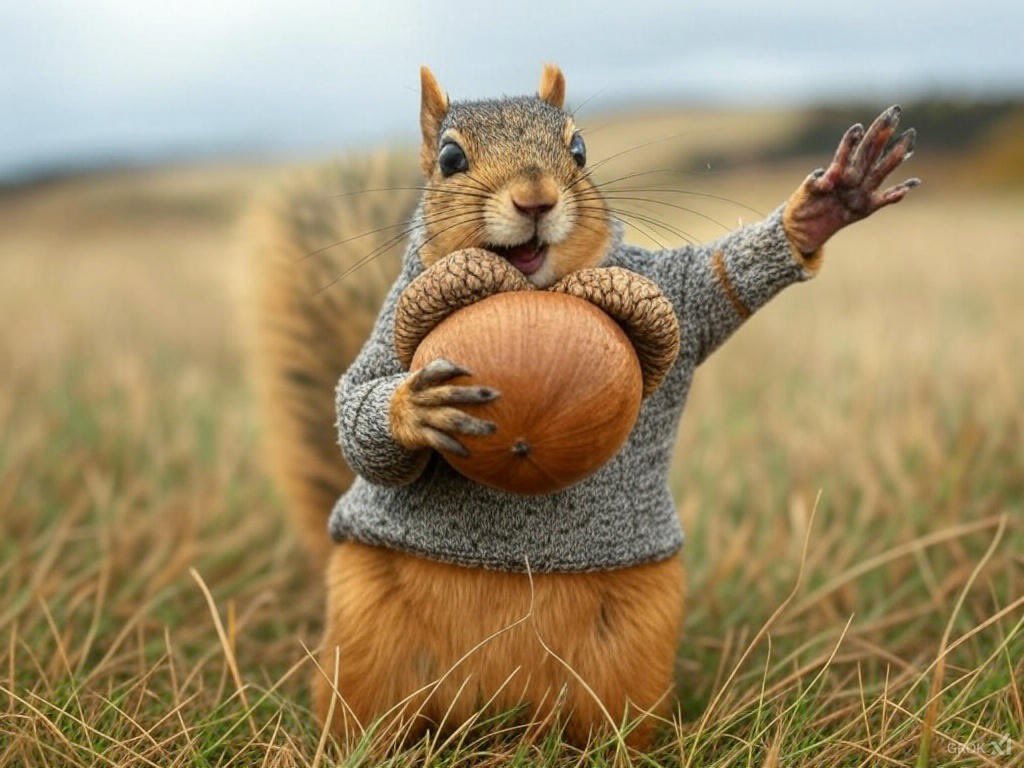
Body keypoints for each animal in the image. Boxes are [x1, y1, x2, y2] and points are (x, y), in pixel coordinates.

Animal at [243, 64, 919, 750]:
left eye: (579, 149)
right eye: (451, 159)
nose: (536, 200)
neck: (534, 286)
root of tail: (499, 717)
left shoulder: (679, 295)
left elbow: (717, 281)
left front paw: (824, 207)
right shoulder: (388, 329)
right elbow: (358, 404)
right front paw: (415, 406)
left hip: (629, 661)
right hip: (367, 646)